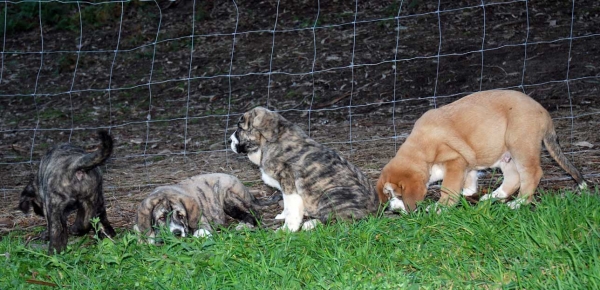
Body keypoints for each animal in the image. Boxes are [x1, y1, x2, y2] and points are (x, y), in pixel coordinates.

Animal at [133, 173, 282, 244]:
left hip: (229, 197)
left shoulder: (201, 222)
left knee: (253, 214)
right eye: (162, 218)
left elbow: (201, 232)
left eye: (181, 216)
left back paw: (243, 225)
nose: (177, 233)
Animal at [230, 106, 380, 231]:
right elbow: (287, 205)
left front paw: (287, 229)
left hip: (330, 194)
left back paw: (310, 224)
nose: (229, 140)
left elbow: (291, 207)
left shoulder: (289, 182)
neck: (269, 142)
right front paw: (283, 216)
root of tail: (376, 212)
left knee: (336, 219)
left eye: (240, 128)